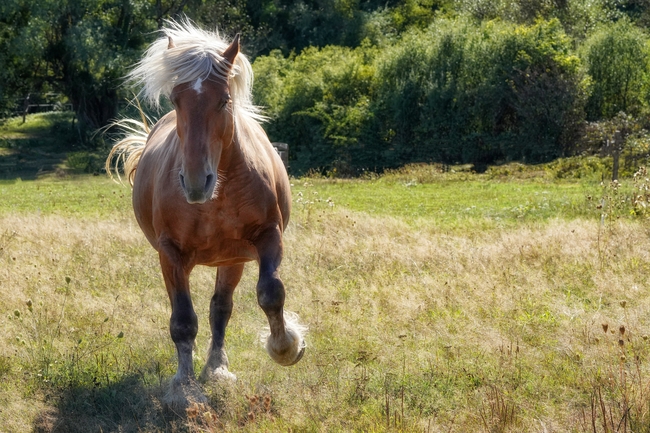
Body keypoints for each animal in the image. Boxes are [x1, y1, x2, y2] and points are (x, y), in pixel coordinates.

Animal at [106, 20, 306, 406]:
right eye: (175, 100)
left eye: (224, 100)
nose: (197, 181)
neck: (215, 198)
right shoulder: (170, 253)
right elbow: (183, 321)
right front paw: (183, 388)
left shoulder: (268, 236)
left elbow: (271, 292)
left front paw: (286, 346)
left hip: (232, 260)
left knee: (221, 309)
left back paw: (216, 368)